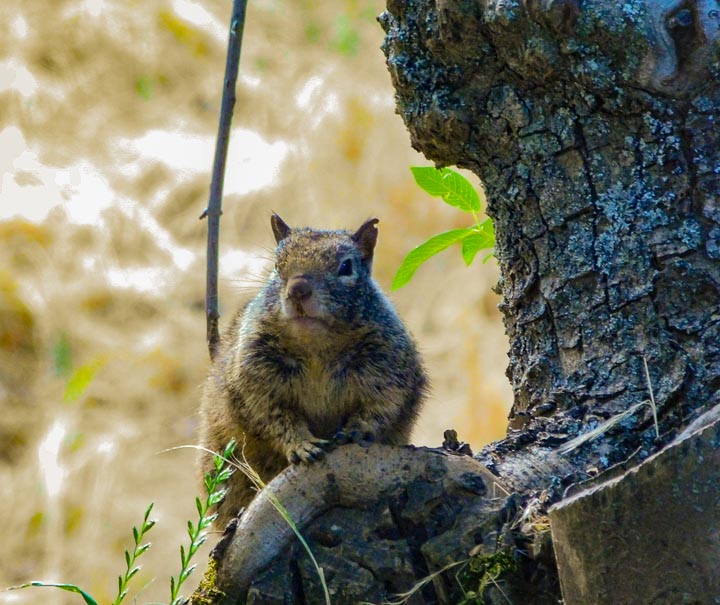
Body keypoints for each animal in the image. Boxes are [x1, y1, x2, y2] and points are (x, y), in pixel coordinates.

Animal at [198, 215, 428, 528]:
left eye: (346, 267)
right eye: (277, 264)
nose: (298, 290)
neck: (315, 347)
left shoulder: (390, 371)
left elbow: (381, 408)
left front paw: (356, 430)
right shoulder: (254, 385)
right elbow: (273, 418)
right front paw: (302, 445)